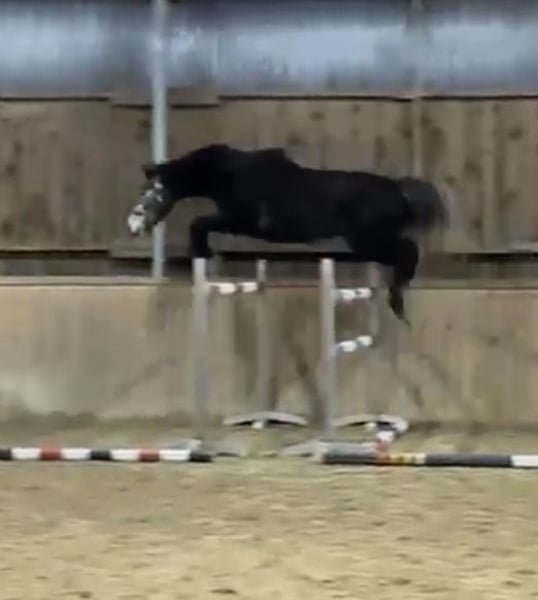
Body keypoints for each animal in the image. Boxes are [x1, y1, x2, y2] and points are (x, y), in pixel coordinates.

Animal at [127, 143, 448, 323]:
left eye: (151, 193)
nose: (132, 227)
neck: (229, 173)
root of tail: (397, 190)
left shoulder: (243, 221)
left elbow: (199, 223)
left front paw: (201, 252)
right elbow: (201, 224)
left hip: (369, 241)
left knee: (408, 252)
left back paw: (398, 302)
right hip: (367, 243)